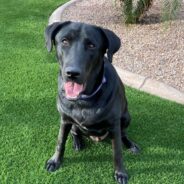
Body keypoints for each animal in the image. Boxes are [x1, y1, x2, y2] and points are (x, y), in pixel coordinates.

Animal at [44, 20, 139, 183]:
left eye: (91, 45)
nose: (72, 73)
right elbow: (60, 141)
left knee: (123, 133)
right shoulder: (65, 119)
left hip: (126, 117)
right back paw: (77, 142)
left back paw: (131, 144)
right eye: (64, 41)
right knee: (75, 132)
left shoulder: (114, 125)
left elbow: (117, 152)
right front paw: (55, 161)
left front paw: (120, 173)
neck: (83, 100)